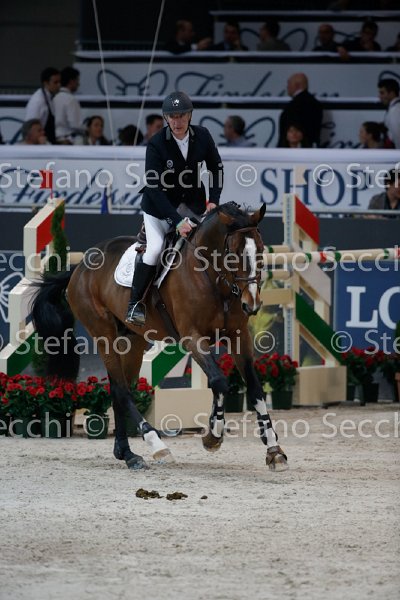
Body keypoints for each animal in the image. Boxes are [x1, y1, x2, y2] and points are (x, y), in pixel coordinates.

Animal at [31, 202, 288, 471]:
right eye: (233, 253)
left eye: (260, 249)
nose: (252, 305)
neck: (214, 278)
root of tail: (79, 268)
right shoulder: (192, 337)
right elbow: (219, 381)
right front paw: (212, 437)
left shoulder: (239, 336)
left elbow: (255, 388)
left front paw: (274, 450)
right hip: (103, 334)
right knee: (122, 390)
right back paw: (157, 445)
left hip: (132, 340)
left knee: (120, 389)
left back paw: (127, 454)